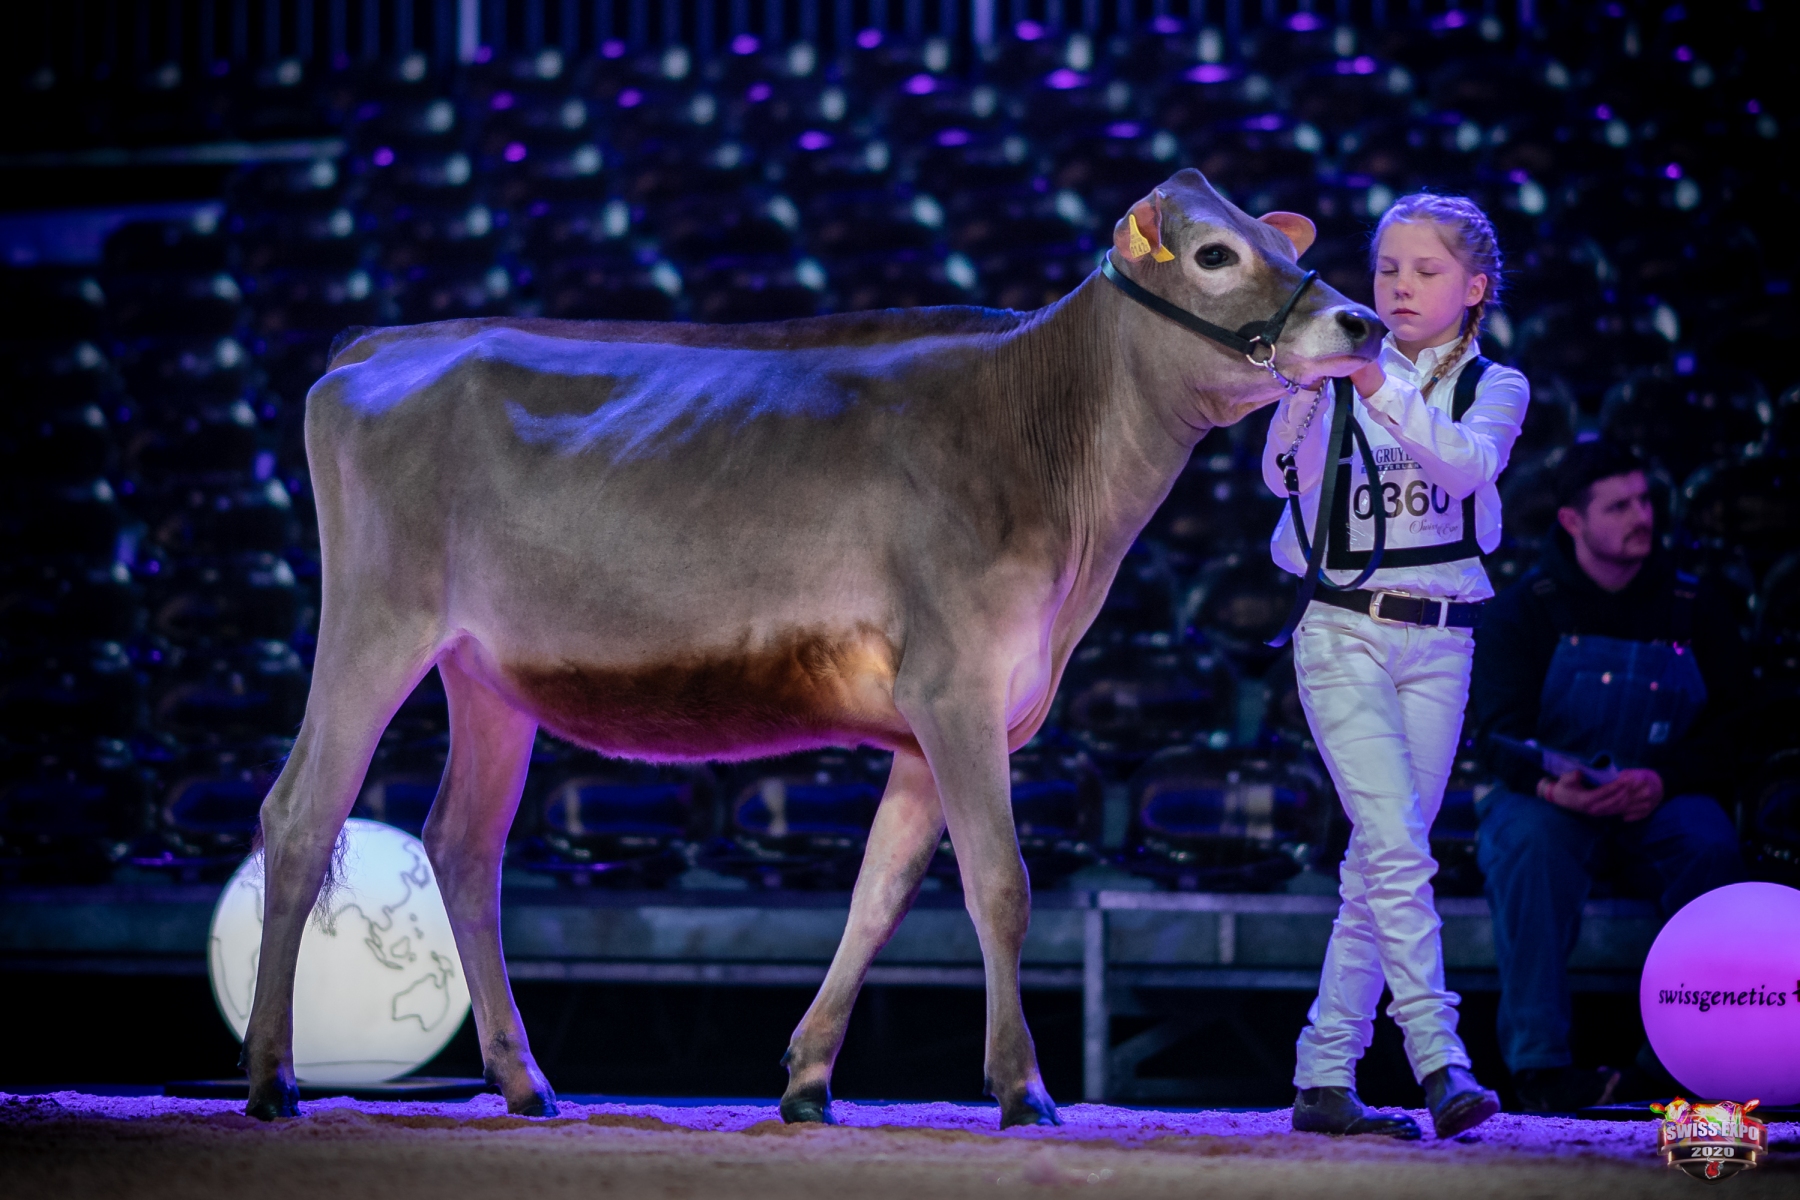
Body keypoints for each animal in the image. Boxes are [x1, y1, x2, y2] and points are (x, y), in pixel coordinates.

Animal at [239, 168, 1381, 1127]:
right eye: (1214, 255)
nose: (1363, 320)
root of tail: (378, 344)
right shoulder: (957, 686)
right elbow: (1000, 884)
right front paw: (1023, 1090)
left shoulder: (940, 717)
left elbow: (880, 893)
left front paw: (807, 1079)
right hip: (376, 622)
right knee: (301, 814)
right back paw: (271, 1078)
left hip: (489, 675)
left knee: (465, 844)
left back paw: (526, 1083)